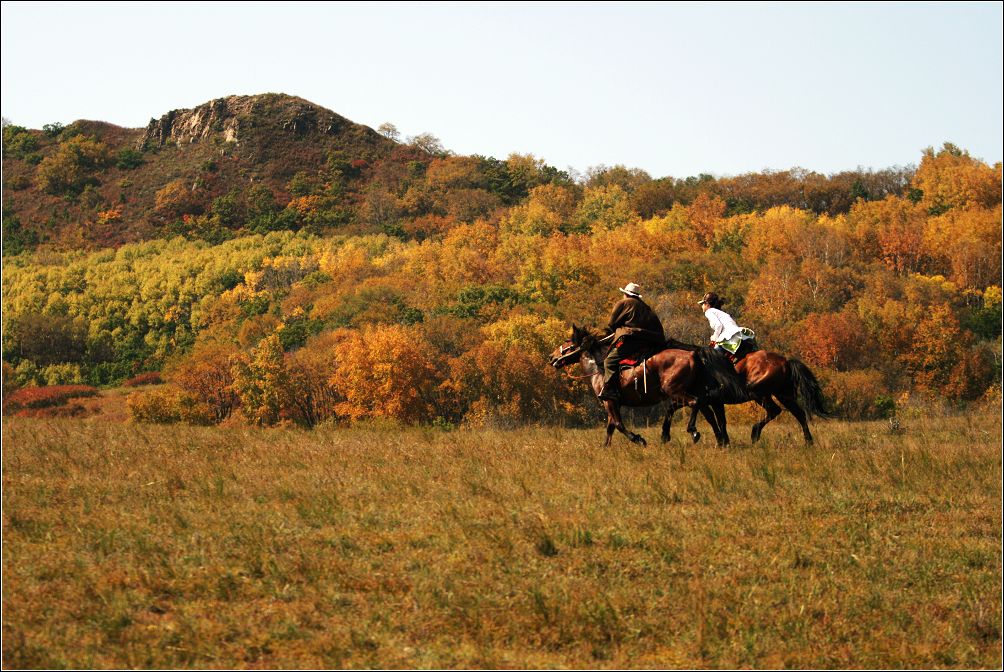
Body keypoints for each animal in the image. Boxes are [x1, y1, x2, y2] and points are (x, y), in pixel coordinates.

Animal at [550, 325, 746, 445]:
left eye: (567, 342)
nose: (552, 357)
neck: (598, 366)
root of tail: (694, 354)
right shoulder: (613, 403)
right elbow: (611, 427)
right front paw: (605, 448)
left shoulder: (610, 401)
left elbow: (618, 425)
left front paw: (639, 439)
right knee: (707, 411)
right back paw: (719, 440)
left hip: (675, 390)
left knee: (695, 403)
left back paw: (693, 432)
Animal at [662, 343, 835, 448]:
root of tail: (786, 361)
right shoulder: (704, 400)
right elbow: (718, 420)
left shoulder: (705, 399)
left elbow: (713, 419)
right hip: (782, 394)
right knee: (795, 413)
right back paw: (807, 441)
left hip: (760, 394)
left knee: (778, 411)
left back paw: (756, 432)